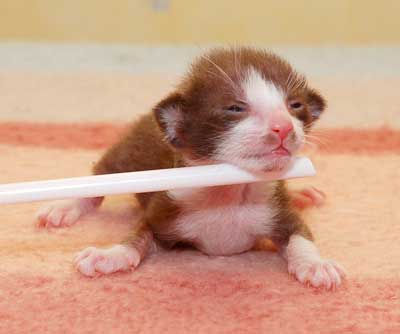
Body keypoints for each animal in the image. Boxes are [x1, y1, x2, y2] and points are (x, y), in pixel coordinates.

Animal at [36, 47, 346, 290]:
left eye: (295, 105)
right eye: (235, 108)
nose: (283, 127)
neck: (230, 194)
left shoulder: (276, 209)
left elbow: (301, 236)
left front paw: (316, 264)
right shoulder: (165, 209)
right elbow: (137, 237)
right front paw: (110, 255)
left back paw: (302, 195)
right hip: (125, 156)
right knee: (100, 178)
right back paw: (64, 207)